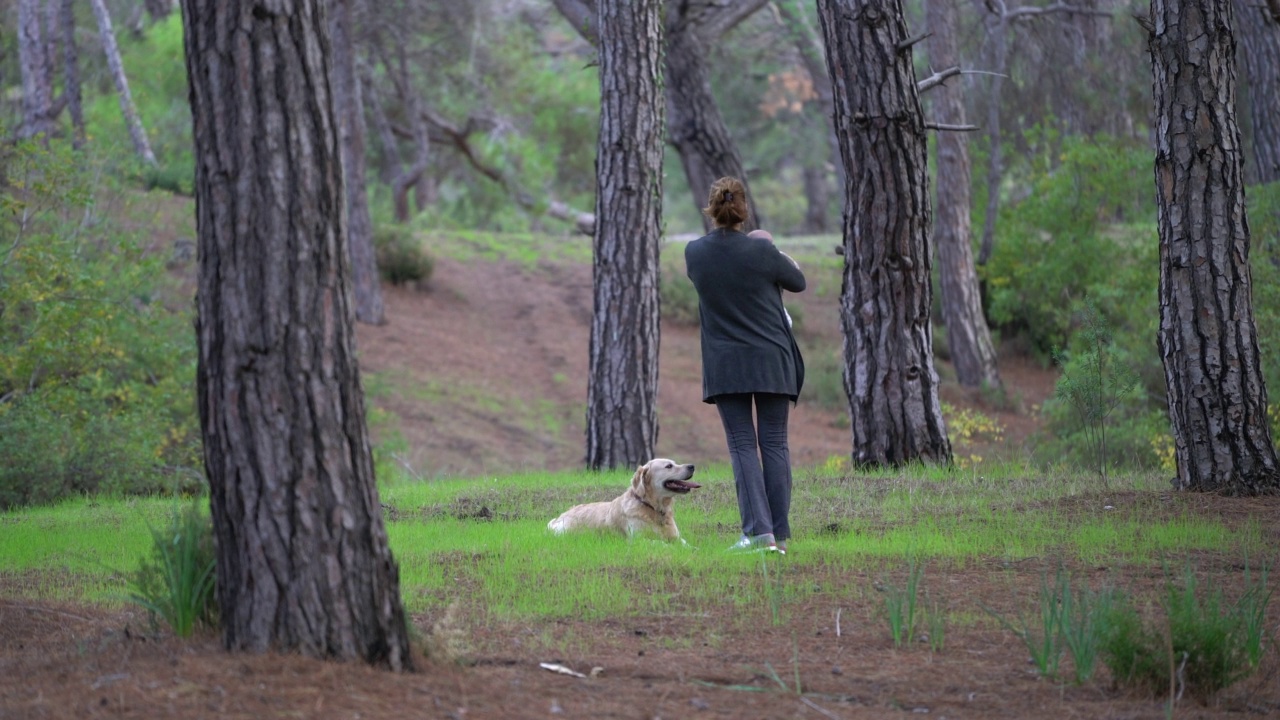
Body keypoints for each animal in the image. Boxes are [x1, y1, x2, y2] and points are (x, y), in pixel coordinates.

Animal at [542, 458, 696, 538]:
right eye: (669, 466)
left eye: (674, 463)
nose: (692, 466)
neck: (651, 506)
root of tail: (560, 516)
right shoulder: (641, 540)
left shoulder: (678, 539)